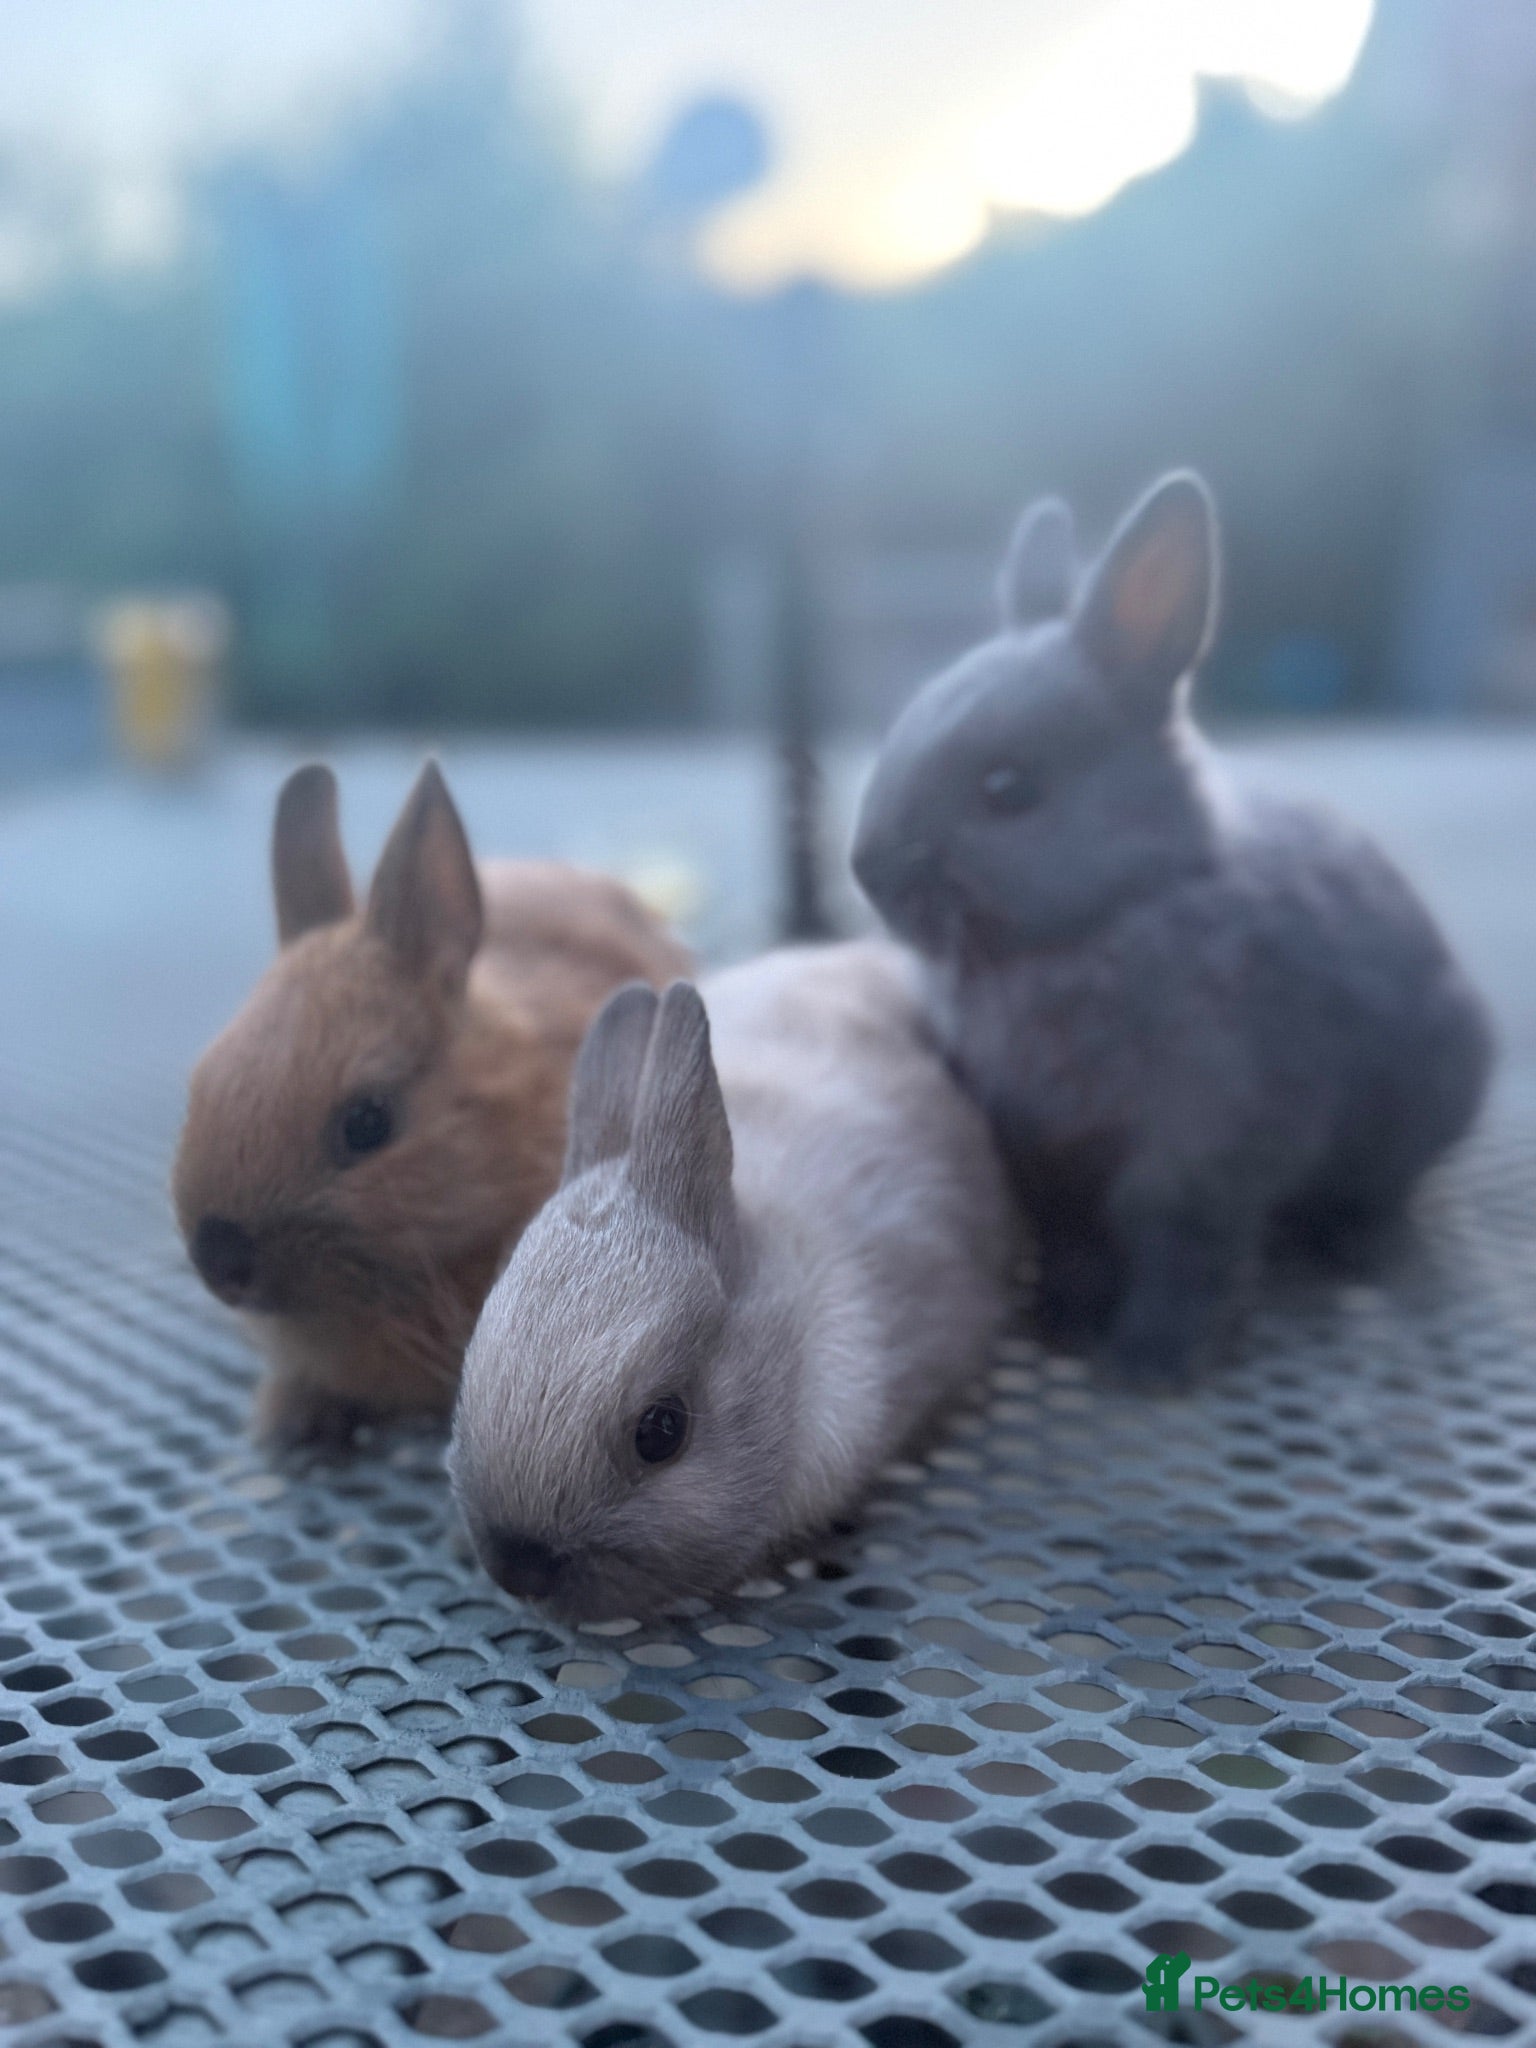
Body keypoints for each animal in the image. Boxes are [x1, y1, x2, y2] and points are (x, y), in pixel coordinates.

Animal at [851, 471, 1495, 1388]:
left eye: (1010, 788)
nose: (865, 869)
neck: (1112, 912)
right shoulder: (1044, 1150)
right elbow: (1071, 1236)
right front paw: (1063, 1325)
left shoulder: (1206, 1145)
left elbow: (1177, 1244)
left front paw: (1148, 1365)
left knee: (1385, 1189)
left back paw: (1357, 1247)